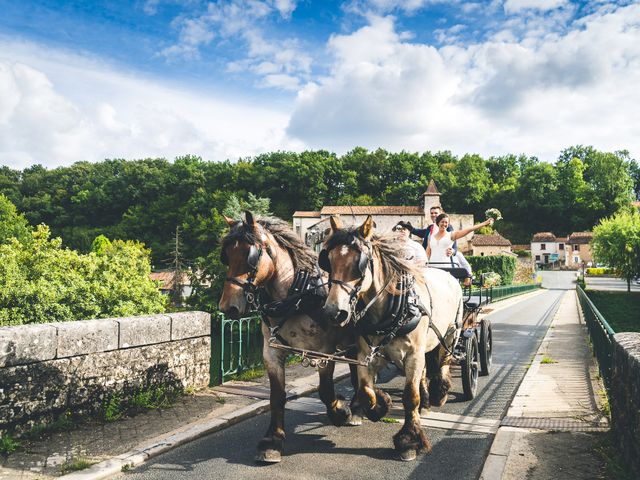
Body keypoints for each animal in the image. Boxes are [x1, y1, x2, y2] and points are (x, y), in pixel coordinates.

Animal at [219, 212, 360, 464]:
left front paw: (341, 411)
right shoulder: (272, 352)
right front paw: (273, 441)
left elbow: (325, 390)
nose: (228, 307)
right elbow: (277, 396)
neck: (296, 296)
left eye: (250, 256)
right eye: (226, 256)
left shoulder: (324, 352)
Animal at [322, 217, 462, 462]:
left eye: (359, 264)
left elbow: (410, 397)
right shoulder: (365, 354)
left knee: (443, 362)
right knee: (425, 372)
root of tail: (447, 274)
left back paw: (439, 393)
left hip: (450, 334)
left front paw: (409, 441)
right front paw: (380, 405)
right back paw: (427, 399)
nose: (333, 312)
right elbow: (365, 391)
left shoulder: (413, 355)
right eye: (328, 260)